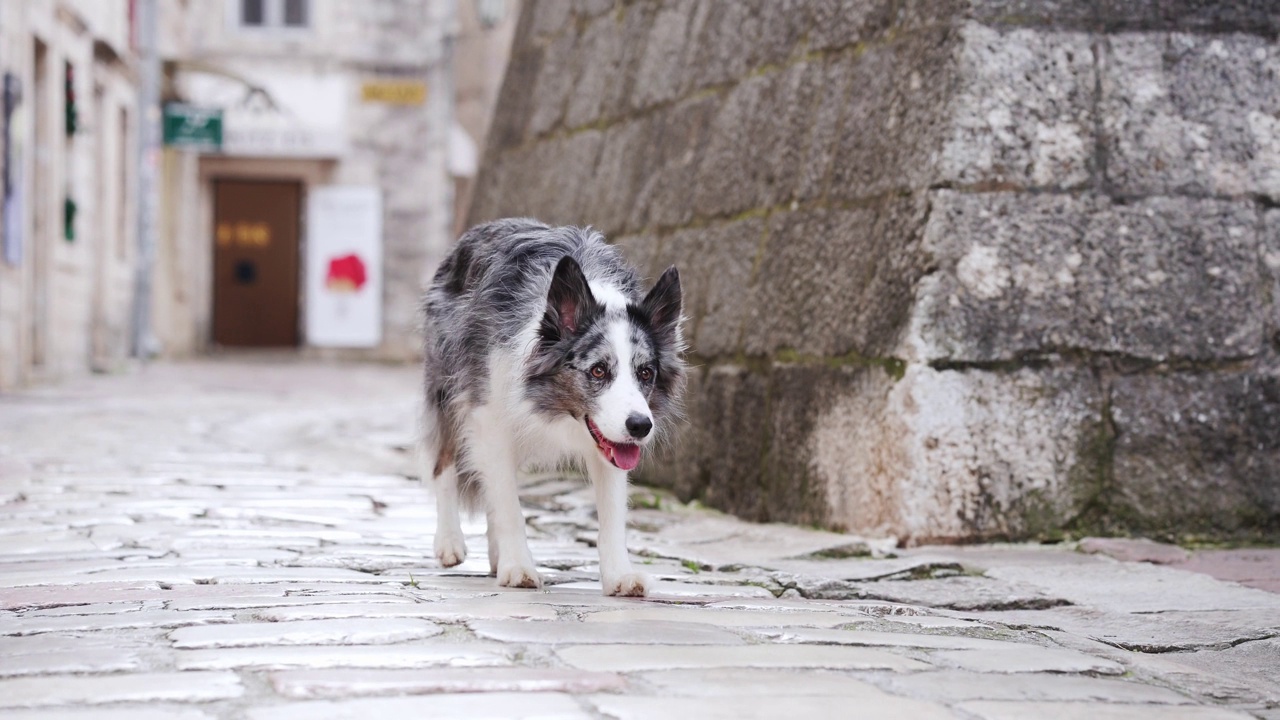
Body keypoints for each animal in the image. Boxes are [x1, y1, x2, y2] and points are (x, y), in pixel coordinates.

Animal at [419, 217, 686, 594]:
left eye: (645, 373)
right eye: (598, 370)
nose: (640, 426)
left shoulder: (610, 442)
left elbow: (612, 512)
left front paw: (619, 575)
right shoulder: (488, 419)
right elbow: (508, 503)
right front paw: (518, 567)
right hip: (447, 391)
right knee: (444, 464)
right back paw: (450, 542)